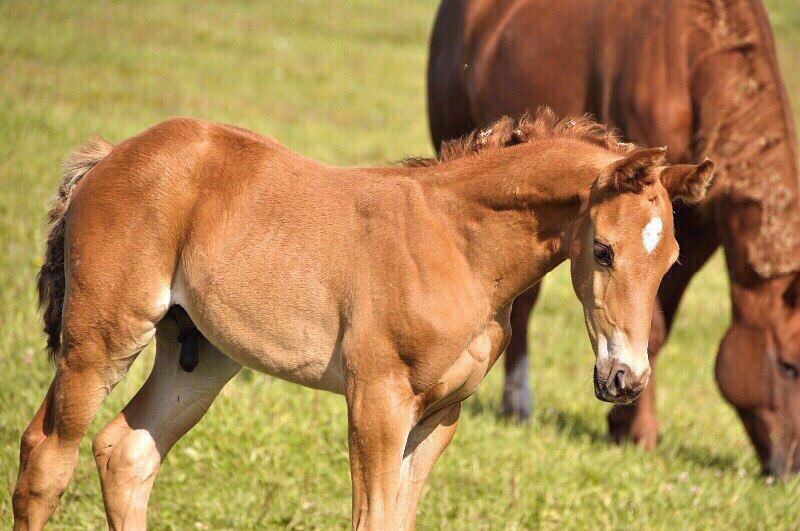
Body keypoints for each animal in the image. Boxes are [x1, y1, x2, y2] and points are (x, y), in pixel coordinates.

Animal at [12, 111, 712, 529]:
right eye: (604, 250)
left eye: (671, 260)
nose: (625, 379)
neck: (456, 243)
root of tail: (111, 155)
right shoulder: (377, 399)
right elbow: (370, 520)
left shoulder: (440, 416)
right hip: (102, 337)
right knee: (46, 455)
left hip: (201, 356)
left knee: (125, 453)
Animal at [427, 0, 800, 476]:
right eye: (788, 367)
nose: (792, 467)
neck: (689, 52)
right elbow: (651, 326)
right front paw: (638, 432)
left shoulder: (691, 232)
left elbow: (654, 322)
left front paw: (625, 420)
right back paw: (516, 402)